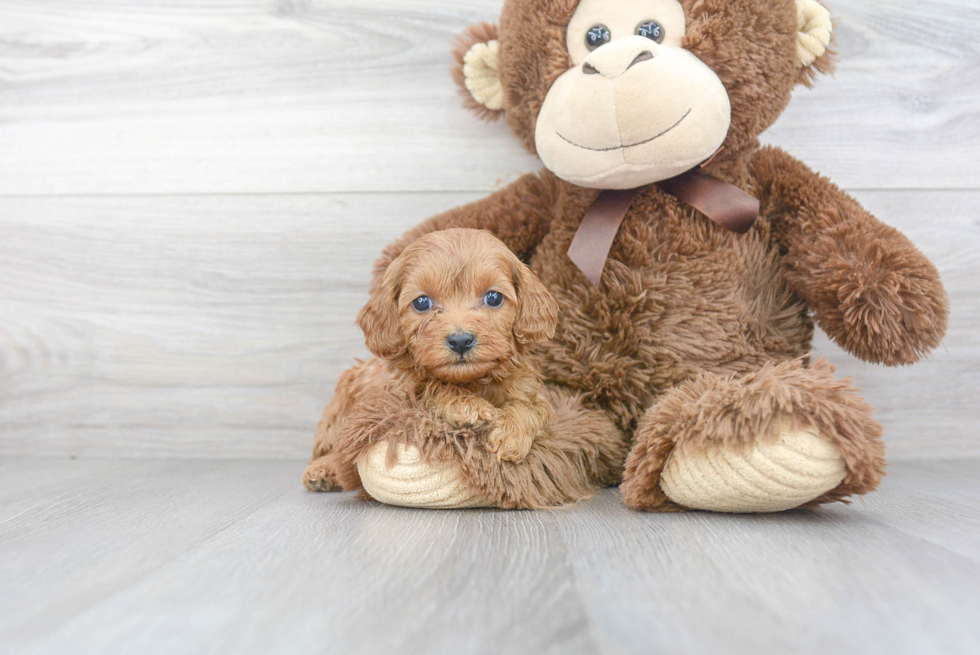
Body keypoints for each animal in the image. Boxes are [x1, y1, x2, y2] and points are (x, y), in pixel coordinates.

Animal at [298, 228, 560, 490]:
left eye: (494, 298)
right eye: (422, 302)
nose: (460, 340)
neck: (471, 381)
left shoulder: (530, 390)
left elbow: (532, 408)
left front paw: (510, 434)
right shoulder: (398, 392)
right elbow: (431, 386)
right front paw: (466, 406)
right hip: (339, 409)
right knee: (334, 449)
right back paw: (323, 470)